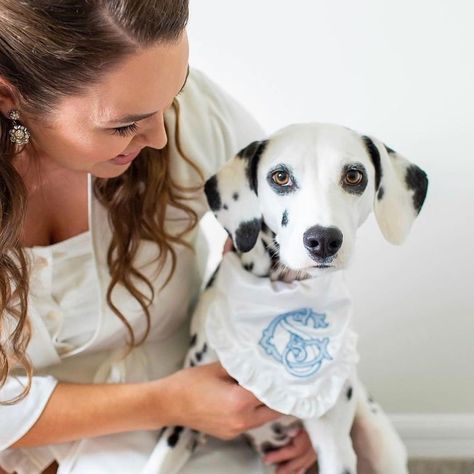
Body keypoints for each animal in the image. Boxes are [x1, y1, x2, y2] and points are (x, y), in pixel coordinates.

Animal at [143, 123, 428, 474]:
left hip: (379, 442)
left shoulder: (334, 446)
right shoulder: (184, 423)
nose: (323, 240)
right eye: (280, 177)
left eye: (354, 176)